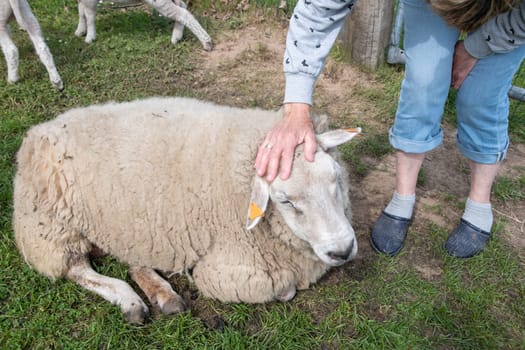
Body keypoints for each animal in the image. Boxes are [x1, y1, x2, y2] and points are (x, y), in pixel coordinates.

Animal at [14, 97, 360, 324]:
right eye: (285, 200)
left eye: (336, 177)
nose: (342, 250)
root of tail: (37, 132)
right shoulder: (227, 273)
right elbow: (284, 288)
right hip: (49, 228)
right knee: (76, 269)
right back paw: (131, 301)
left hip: (128, 227)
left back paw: (161, 293)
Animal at [74, 0, 213, 50]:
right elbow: (81, 12)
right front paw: (80, 31)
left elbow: (89, 15)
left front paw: (90, 38)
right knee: (182, 6)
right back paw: (176, 37)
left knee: (183, 13)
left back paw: (207, 43)